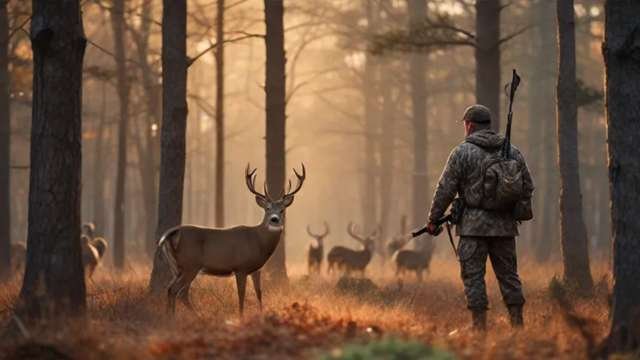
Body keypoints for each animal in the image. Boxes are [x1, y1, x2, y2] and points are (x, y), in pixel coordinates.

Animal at [156, 163, 304, 316]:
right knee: (175, 290)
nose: (274, 219)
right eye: (267, 209)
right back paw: (180, 317)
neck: (258, 242)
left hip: (177, 267)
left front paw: (261, 313)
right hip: (190, 264)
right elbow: (241, 294)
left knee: (175, 290)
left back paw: (177, 316)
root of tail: (171, 233)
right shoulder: (240, 267)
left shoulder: (256, 269)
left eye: (282, 210)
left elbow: (259, 293)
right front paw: (241, 316)